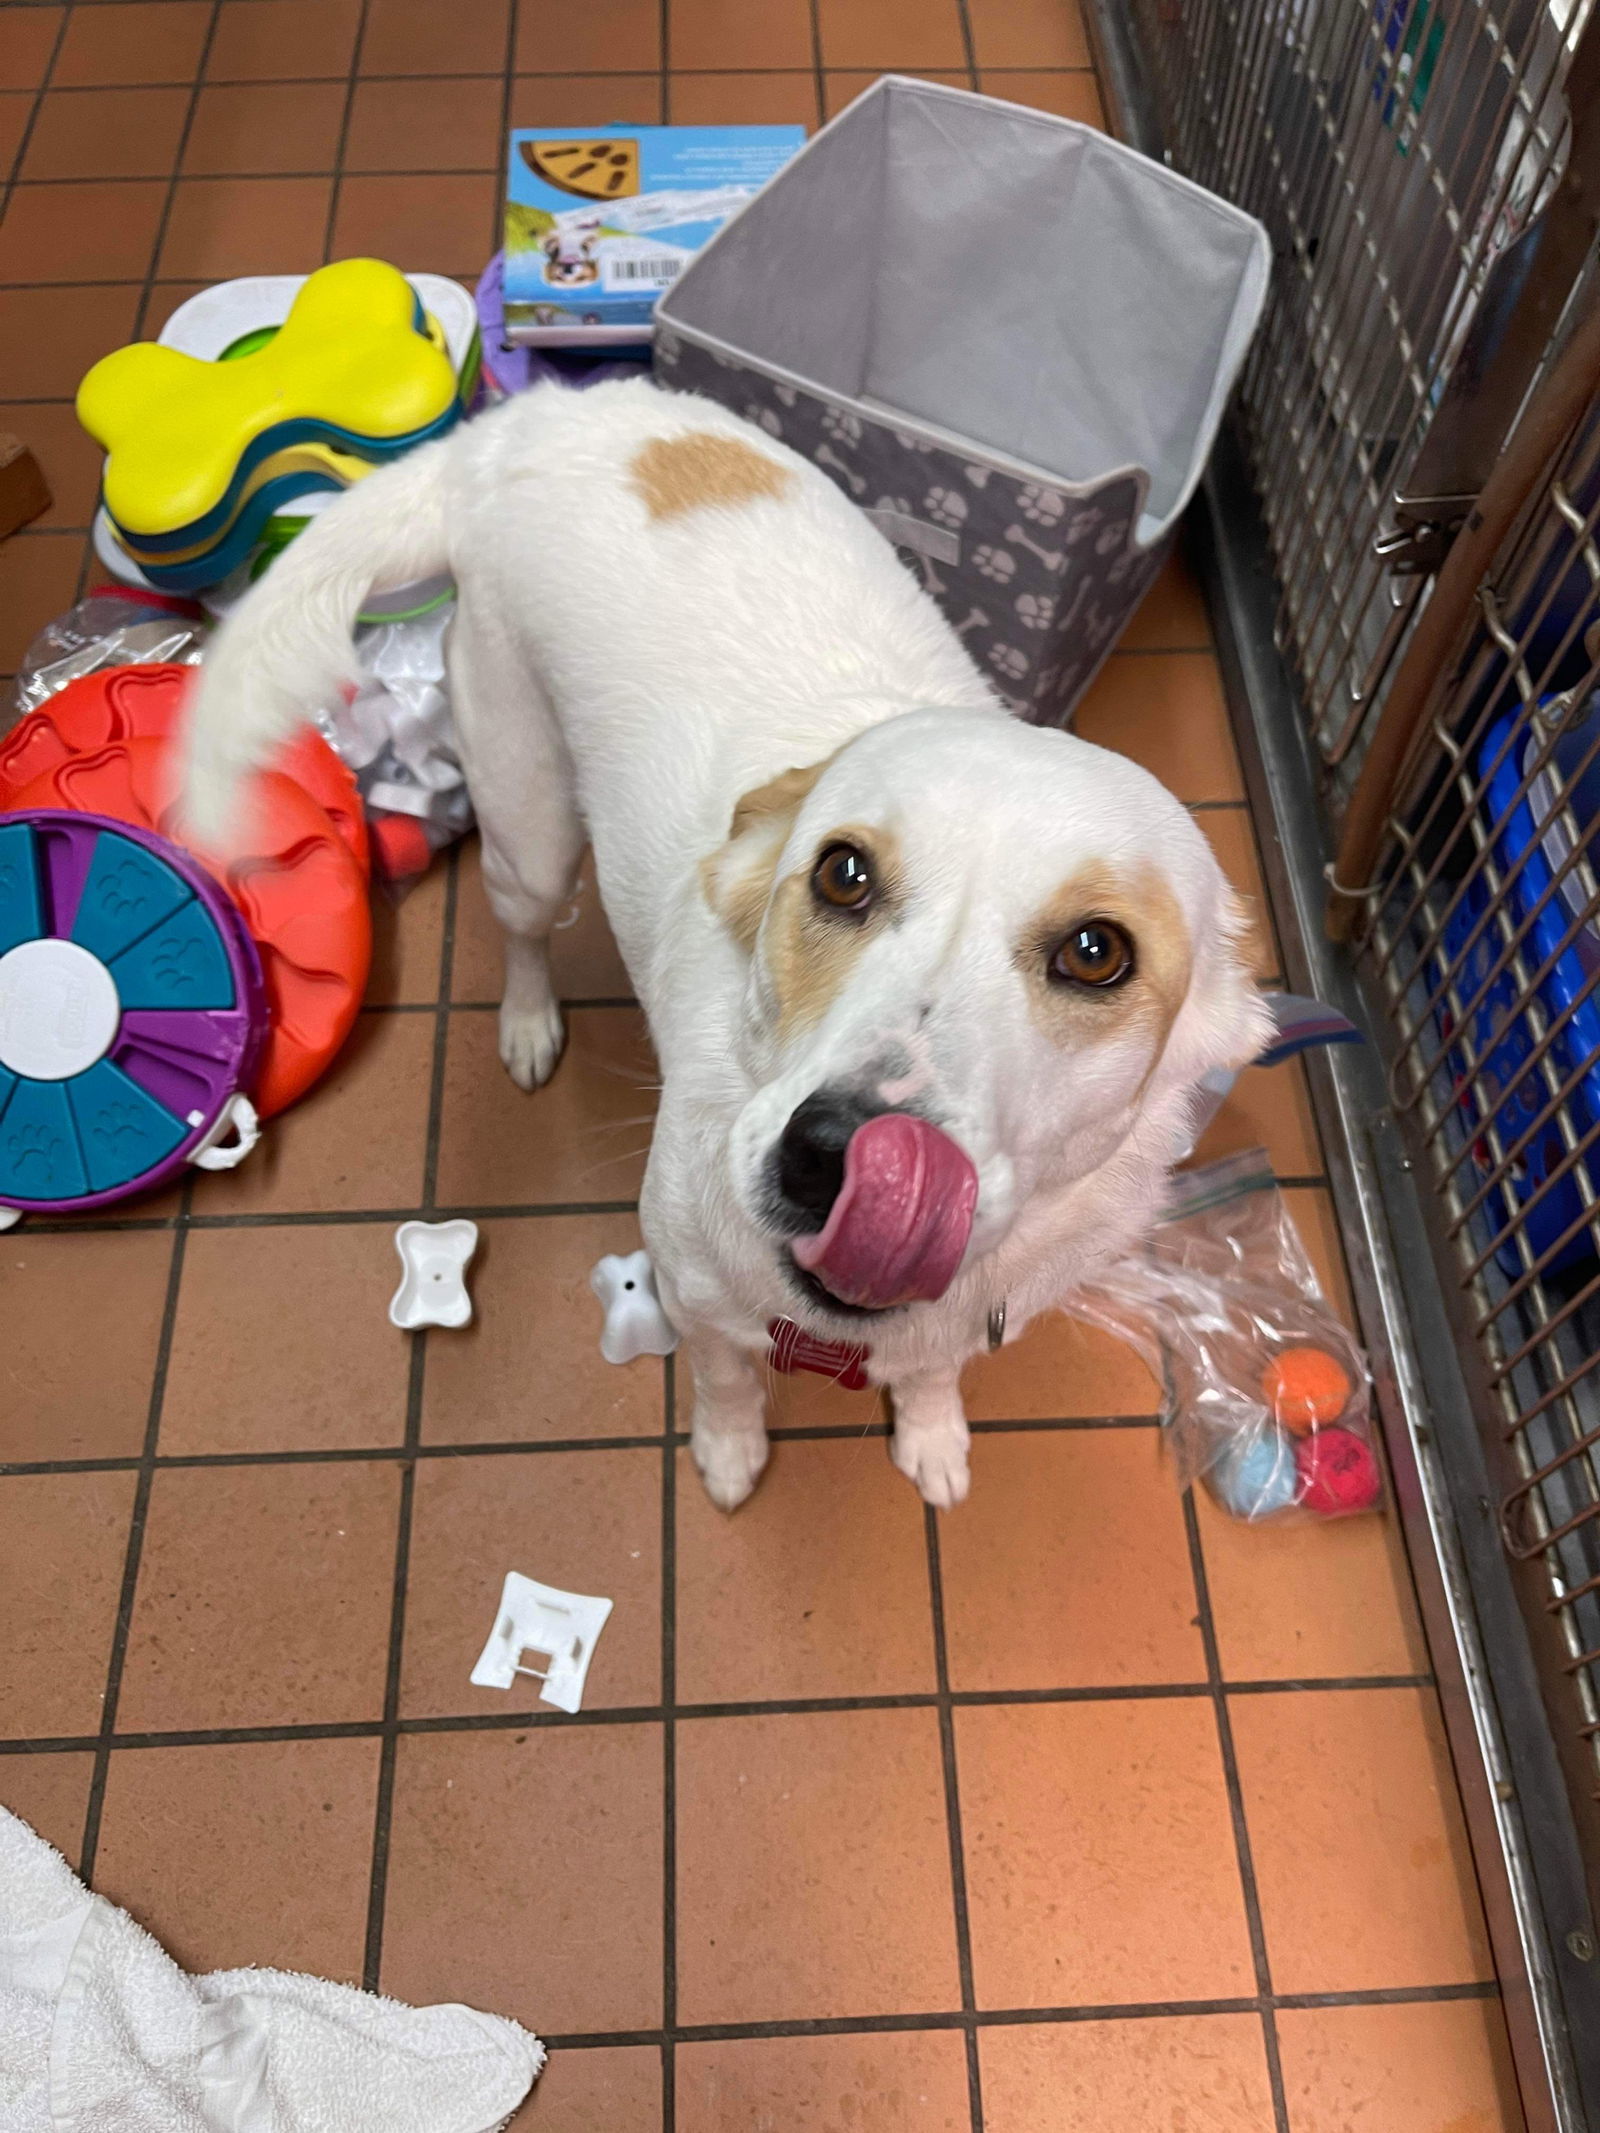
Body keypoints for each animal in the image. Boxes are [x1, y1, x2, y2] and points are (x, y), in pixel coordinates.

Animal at [181, 388, 1271, 1518]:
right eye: (842, 873)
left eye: (1097, 952)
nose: (835, 1156)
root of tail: (528, 422)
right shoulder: (694, 1295)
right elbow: (726, 1381)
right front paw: (730, 1452)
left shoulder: (966, 1319)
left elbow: (932, 1371)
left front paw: (931, 1435)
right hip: (528, 821)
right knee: (523, 928)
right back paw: (527, 1025)